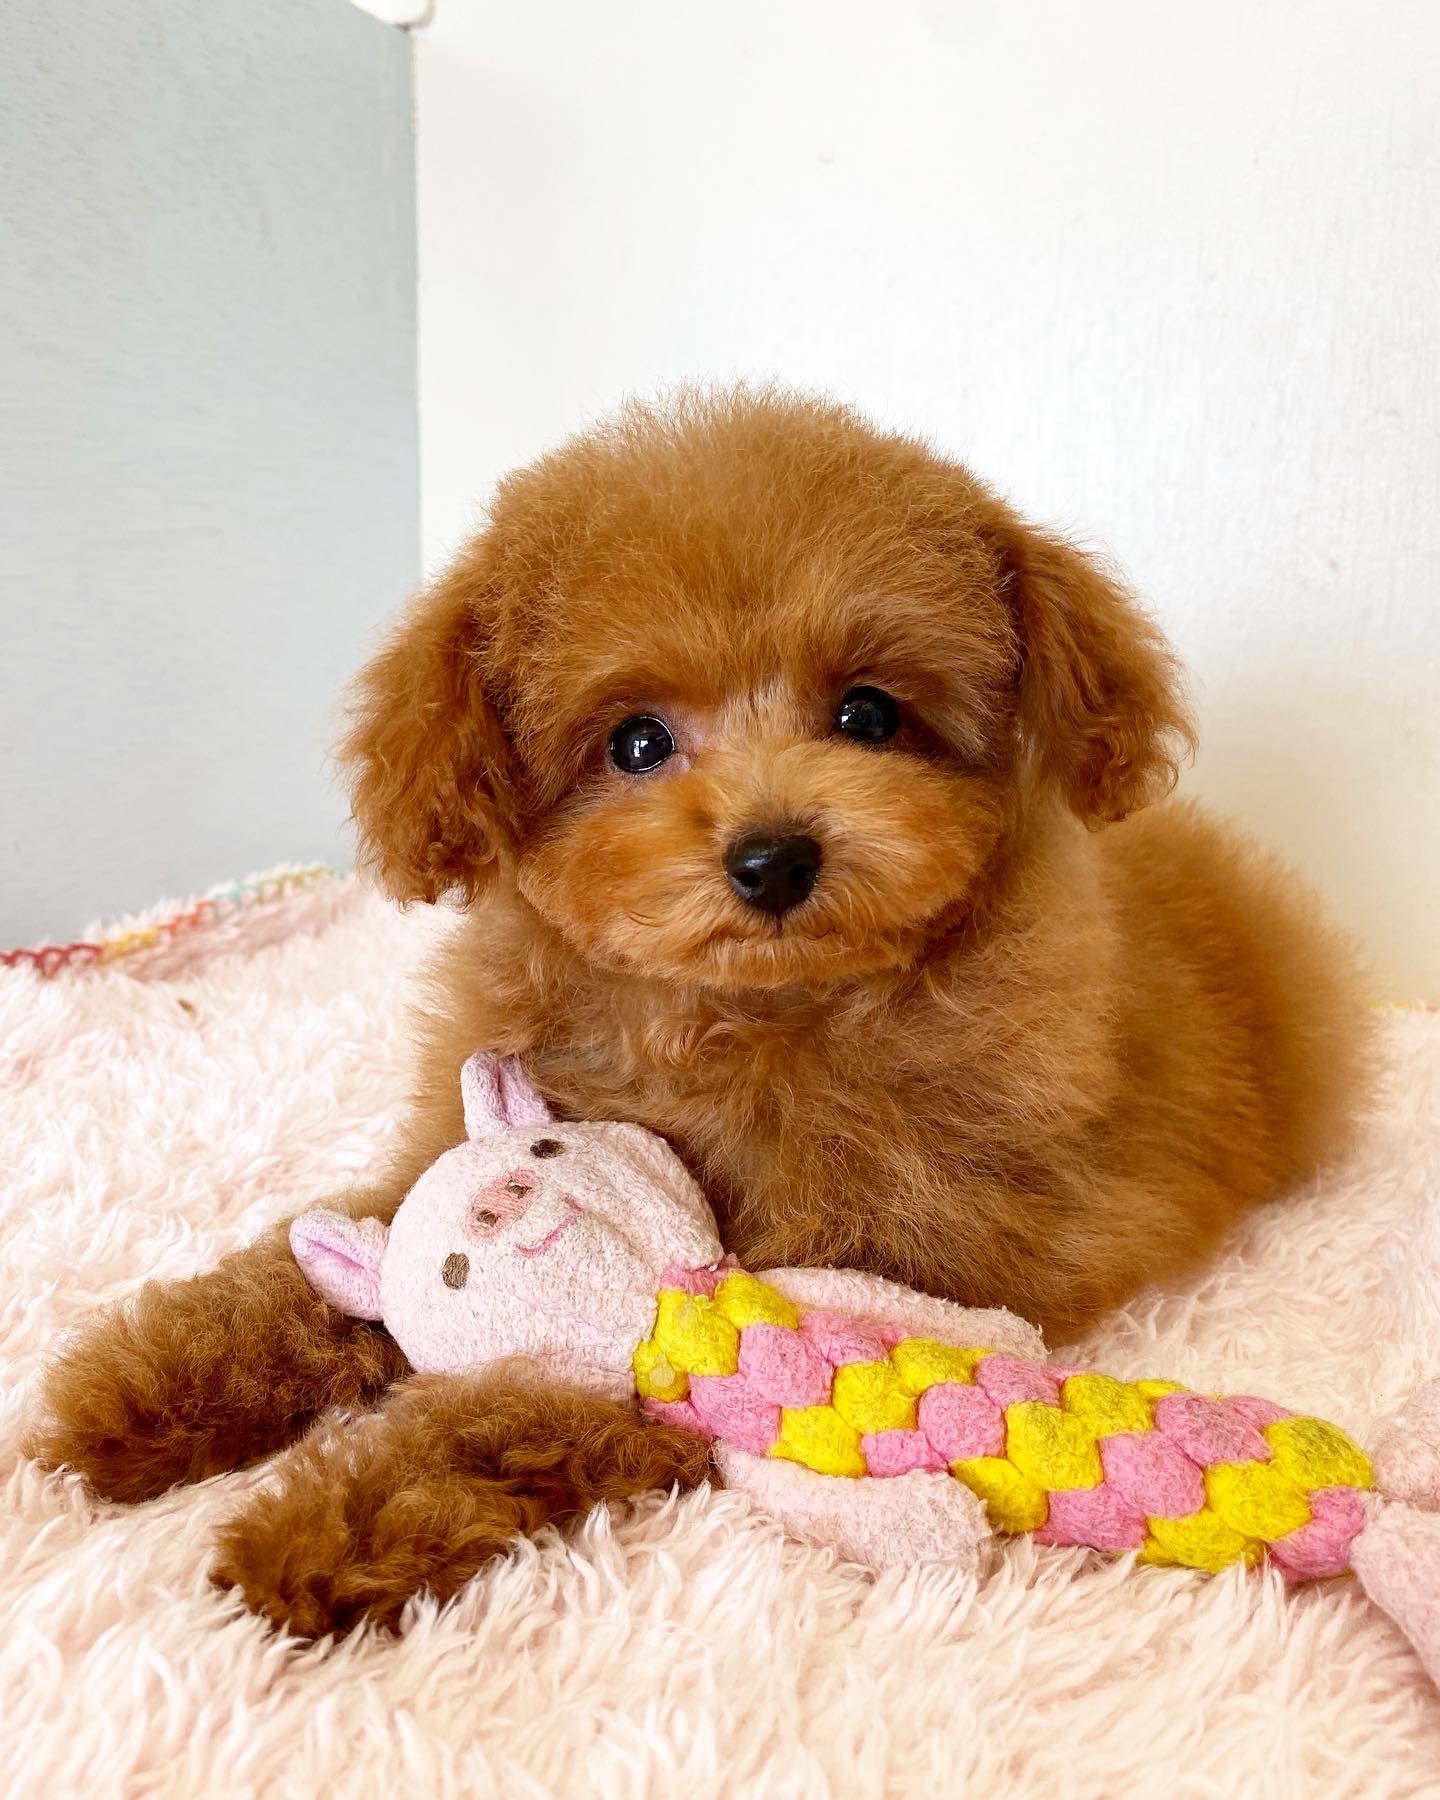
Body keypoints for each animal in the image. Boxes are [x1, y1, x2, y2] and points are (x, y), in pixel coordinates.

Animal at [31, 388, 1374, 1633]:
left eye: (869, 714)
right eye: (636, 742)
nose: (774, 857)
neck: (738, 1018)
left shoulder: (847, 1258)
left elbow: (538, 1405)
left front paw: (329, 1524)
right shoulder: (464, 1135)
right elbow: (308, 1264)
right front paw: (139, 1395)